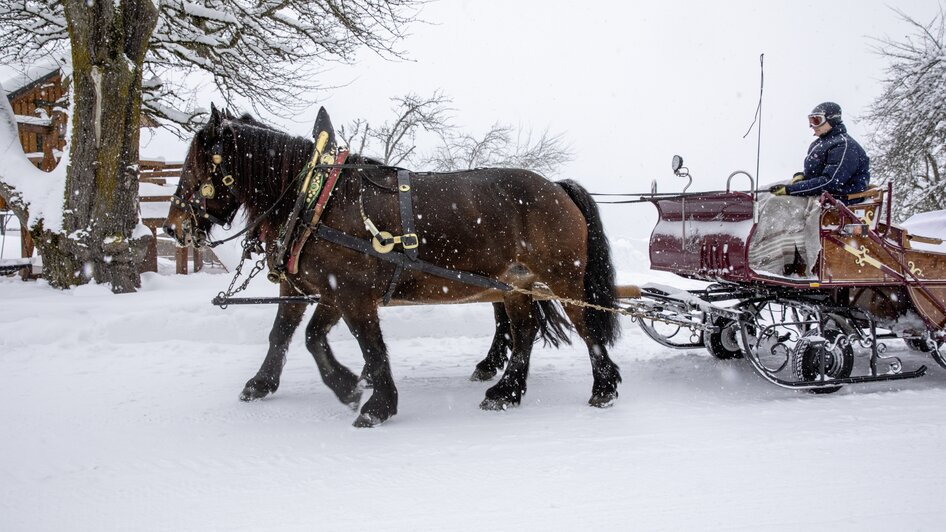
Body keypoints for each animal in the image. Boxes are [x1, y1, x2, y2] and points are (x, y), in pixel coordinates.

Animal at [164, 108, 620, 428]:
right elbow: (291, 335)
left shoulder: (351, 294)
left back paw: (604, 386)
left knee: (588, 330)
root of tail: (556, 187)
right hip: (514, 285)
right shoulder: (318, 288)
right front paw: (272, 383)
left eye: (194, 166)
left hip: (563, 279)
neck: (316, 201)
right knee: (523, 332)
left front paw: (374, 403)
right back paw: (506, 391)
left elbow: (368, 345)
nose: (172, 226)